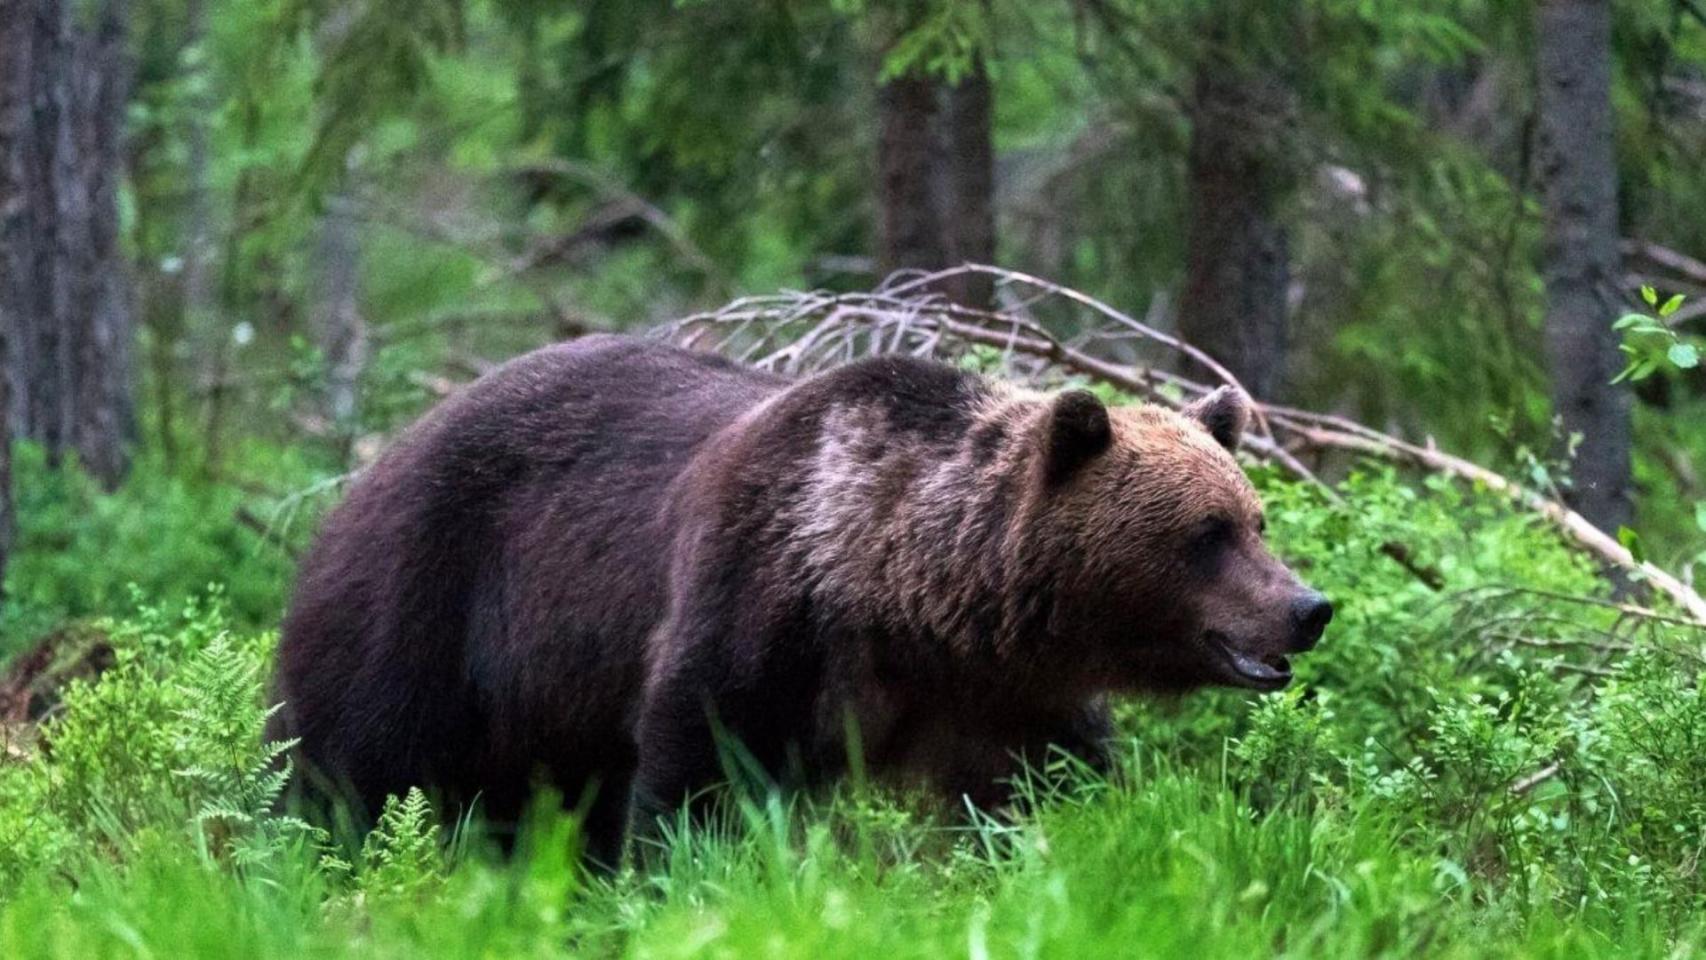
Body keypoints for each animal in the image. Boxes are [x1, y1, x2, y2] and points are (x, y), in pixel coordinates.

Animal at [270, 334, 1331, 865]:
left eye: (1255, 519)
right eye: (1205, 535)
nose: (1308, 607)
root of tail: (368, 464)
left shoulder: (998, 693)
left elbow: (1048, 789)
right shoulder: (758, 602)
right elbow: (700, 770)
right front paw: (684, 875)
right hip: (431, 599)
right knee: (355, 761)